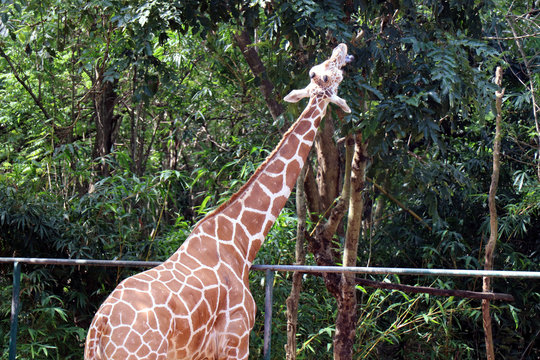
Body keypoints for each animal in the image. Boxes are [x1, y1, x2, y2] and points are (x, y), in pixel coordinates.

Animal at [84, 41, 354, 358]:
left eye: (324, 67)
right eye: (328, 73)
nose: (342, 48)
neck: (242, 243)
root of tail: (99, 328)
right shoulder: (237, 339)